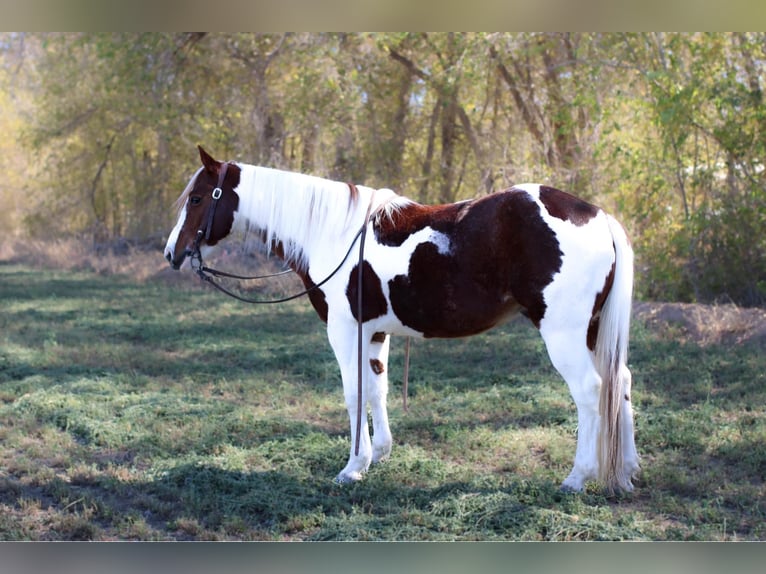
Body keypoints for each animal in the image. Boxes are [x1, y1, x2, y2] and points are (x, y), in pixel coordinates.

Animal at [164, 146, 639, 493]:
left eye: (197, 198)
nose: (172, 253)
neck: (331, 234)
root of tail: (598, 216)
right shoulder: (375, 333)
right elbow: (378, 389)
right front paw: (379, 454)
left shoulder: (345, 332)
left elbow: (354, 394)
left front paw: (353, 466)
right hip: (593, 333)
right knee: (621, 382)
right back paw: (628, 469)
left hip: (564, 336)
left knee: (590, 391)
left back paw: (577, 477)